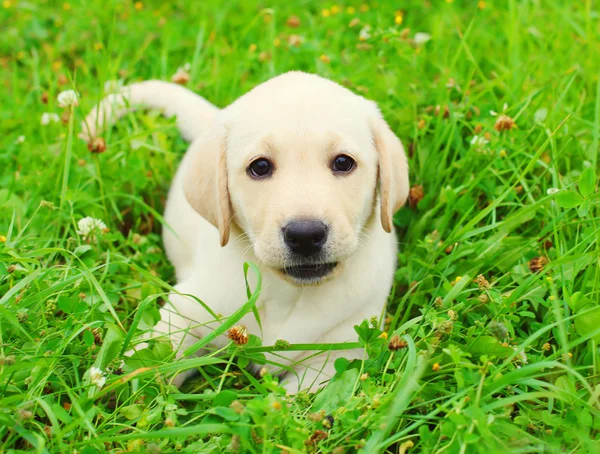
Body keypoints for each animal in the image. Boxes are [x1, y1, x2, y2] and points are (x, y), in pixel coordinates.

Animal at [82, 72, 410, 394]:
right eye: (260, 166)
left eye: (343, 162)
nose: (305, 234)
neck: (288, 293)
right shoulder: (187, 310)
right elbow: (155, 360)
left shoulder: (337, 356)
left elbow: (296, 396)